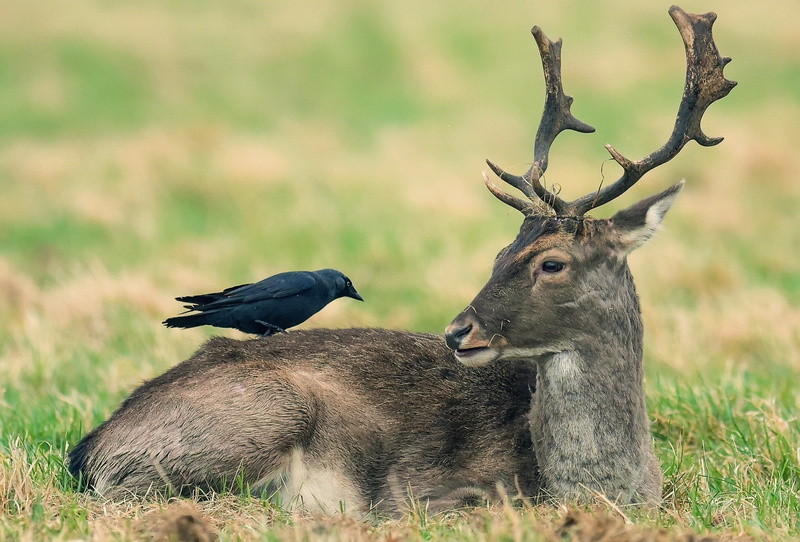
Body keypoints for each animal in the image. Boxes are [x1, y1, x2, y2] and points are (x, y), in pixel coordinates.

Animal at [67, 6, 735, 515]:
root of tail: (89, 448)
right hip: (264, 415)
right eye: (500, 251)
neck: (605, 487)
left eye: (552, 263)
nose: (458, 331)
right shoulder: (446, 494)